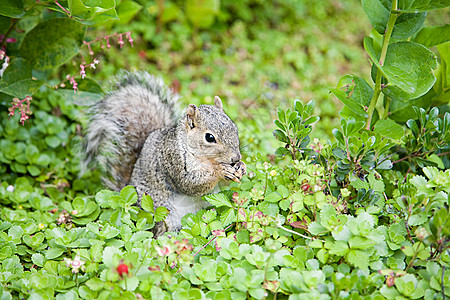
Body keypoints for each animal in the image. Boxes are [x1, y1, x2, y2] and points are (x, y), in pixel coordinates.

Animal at [82, 71, 244, 236]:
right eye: (209, 137)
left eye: (234, 127)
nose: (236, 158)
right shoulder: (173, 159)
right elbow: (190, 183)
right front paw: (220, 170)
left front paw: (241, 168)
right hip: (165, 216)